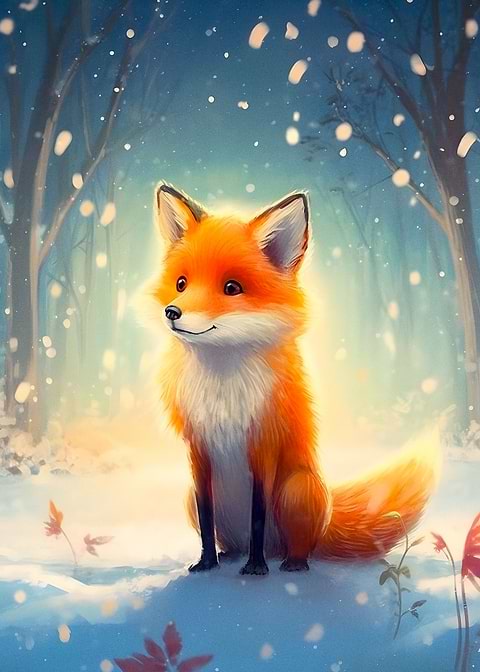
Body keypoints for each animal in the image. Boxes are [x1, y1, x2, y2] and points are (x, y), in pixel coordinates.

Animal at [149, 182, 438, 575]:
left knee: (295, 544)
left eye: (231, 288)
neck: (223, 385)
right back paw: (230, 555)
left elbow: (258, 514)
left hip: (296, 489)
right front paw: (206, 562)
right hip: (190, 498)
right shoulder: (198, 449)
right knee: (228, 536)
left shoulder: (264, 445)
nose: (172, 312)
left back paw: (290, 563)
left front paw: (256, 570)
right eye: (181, 283)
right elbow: (207, 520)